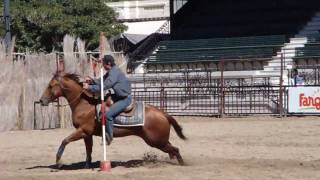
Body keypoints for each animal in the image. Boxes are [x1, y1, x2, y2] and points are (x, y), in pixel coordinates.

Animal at [38, 72, 186, 168]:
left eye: (51, 85)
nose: (41, 100)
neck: (84, 105)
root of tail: (163, 114)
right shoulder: (87, 134)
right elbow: (88, 149)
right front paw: (87, 165)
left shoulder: (82, 131)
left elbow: (65, 141)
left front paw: (58, 163)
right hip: (160, 140)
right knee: (173, 150)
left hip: (156, 141)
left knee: (176, 149)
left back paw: (182, 164)